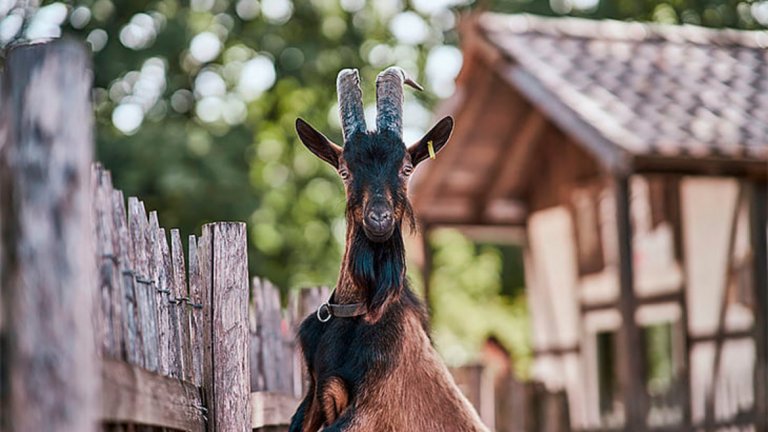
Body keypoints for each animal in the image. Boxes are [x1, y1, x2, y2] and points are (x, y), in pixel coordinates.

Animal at [292, 67, 488, 432]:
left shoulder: (373, 406)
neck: (358, 309)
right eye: (345, 171)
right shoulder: (312, 397)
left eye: (406, 168)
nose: (379, 219)